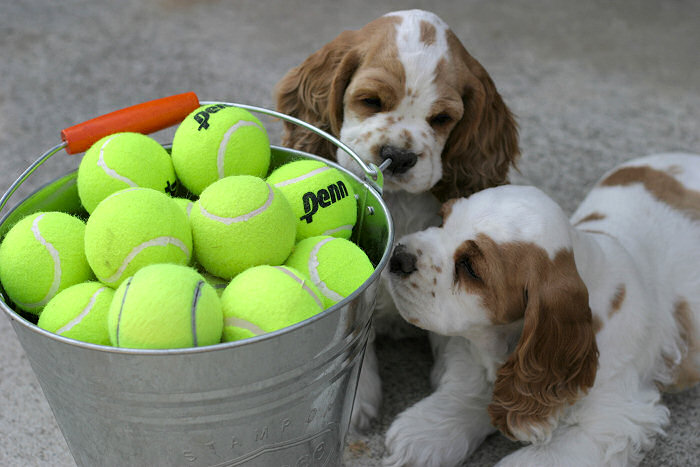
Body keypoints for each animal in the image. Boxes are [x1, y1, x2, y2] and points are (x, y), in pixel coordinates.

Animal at [385, 153, 700, 466]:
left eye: (470, 268)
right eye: (442, 220)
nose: (398, 257)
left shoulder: (612, 420)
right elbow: (473, 388)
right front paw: (421, 435)